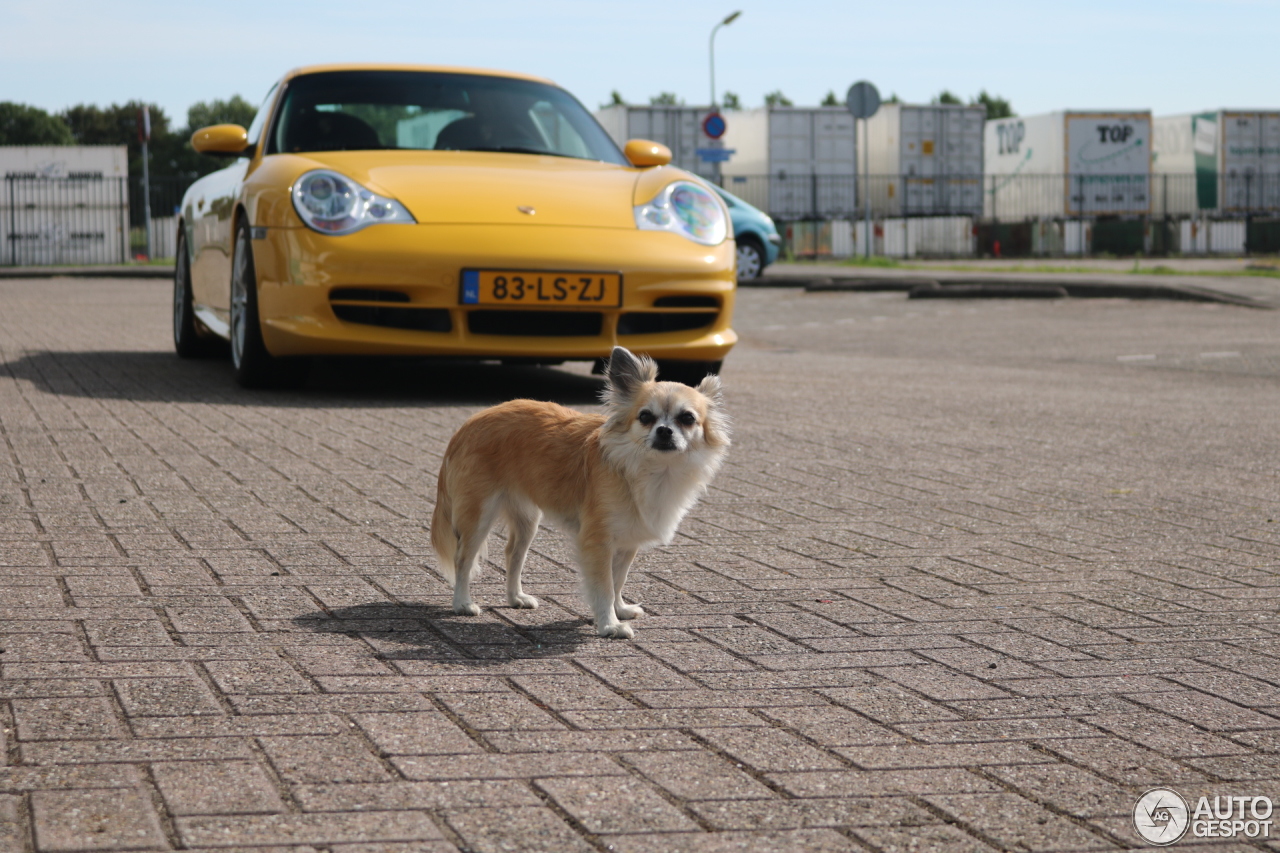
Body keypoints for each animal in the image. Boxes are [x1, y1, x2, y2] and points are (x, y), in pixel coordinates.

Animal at [432, 348, 727, 635]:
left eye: (687, 419)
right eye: (645, 417)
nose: (664, 431)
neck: (655, 470)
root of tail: (468, 424)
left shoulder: (626, 541)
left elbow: (618, 580)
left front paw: (620, 610)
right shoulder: (597, 542)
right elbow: (604, 585)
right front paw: (609, 625)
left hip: (527, 519)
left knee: (513, 554)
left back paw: (515, 597)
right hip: (479, 514)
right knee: (463, 558)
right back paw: (462, 603)